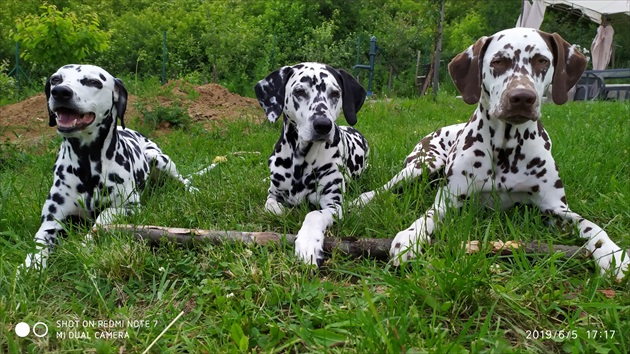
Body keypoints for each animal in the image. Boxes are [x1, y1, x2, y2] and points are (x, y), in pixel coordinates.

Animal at [22, 64, 200, 268]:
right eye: (55, 79)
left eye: (93, 82)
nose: (60, 92)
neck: (88, 163)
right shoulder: (51, 222)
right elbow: (38, 246)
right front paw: (28, 267)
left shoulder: (128, 207)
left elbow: (101, 220)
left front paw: (85, 246)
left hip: (158, 158)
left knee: (183, 179)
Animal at [254, 62, 368, 266]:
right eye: (299, 91)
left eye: (335, 93)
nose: (323, 125)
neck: (301, 161)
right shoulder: (273, 195)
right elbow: (271, 206)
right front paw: (282, 211)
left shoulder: (333, 204)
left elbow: (314, 214)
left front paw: (307, 243)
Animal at [356, 28, 630, 280]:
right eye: (498, 61)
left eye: (542, 61)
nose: (522, 97)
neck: (506, 148)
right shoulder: (448, 200)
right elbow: (427, 216)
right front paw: (410, 237)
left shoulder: (555, 208)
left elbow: (590, 225)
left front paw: (611, 252)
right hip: (422, 165)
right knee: (384, 188)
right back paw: (360, 201)